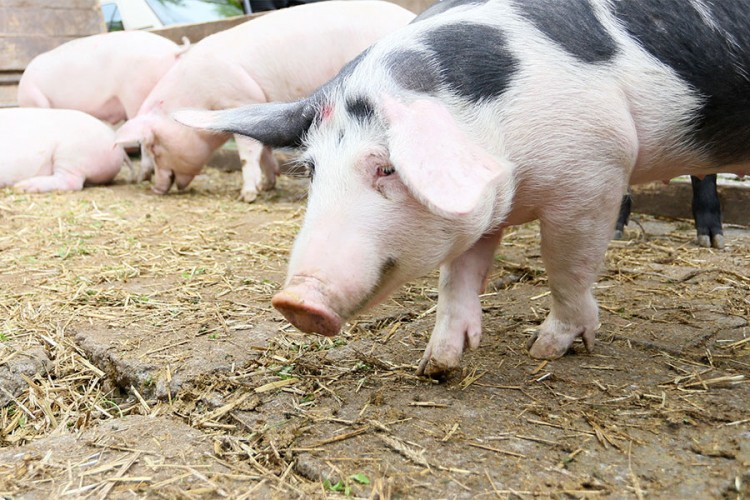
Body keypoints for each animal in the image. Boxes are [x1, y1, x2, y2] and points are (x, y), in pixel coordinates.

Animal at [116, 2, 418, 201]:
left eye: (154, 147)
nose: (155, 189)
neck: (199, 94)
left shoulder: (240, 97)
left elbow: (248, 153)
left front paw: (247, 195)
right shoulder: (258, 105)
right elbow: (264, 150)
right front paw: (268, 186)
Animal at [178, 0, 750, 376]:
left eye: (387, 168)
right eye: (314, 169)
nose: (295, 300)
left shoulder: (595, 172)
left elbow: (567, 266)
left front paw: (546, 350)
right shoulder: (488, 203)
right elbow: (459, 275)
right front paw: (437, 365)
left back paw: (711, 242)